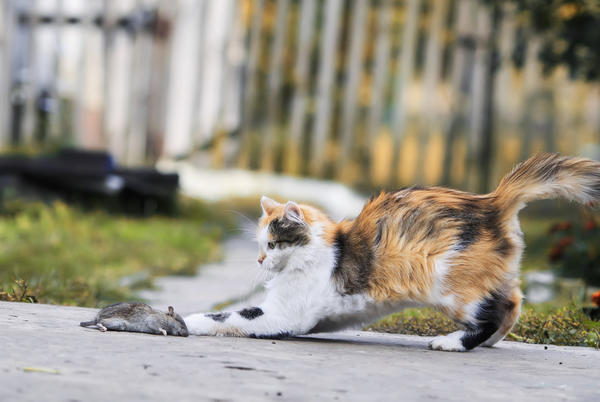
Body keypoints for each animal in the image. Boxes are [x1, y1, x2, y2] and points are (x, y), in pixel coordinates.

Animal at [185, 154, 596, 352]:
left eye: (271, 245)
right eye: (260, 246)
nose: (259, 260)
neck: (324, 249)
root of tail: (492, 201)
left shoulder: (284, 315)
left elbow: (224, 316)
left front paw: (181, 322)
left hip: (451, 287)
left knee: (492, 314)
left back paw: (453, 342)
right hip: (493, 279)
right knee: (512, 302)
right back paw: (490, 341)